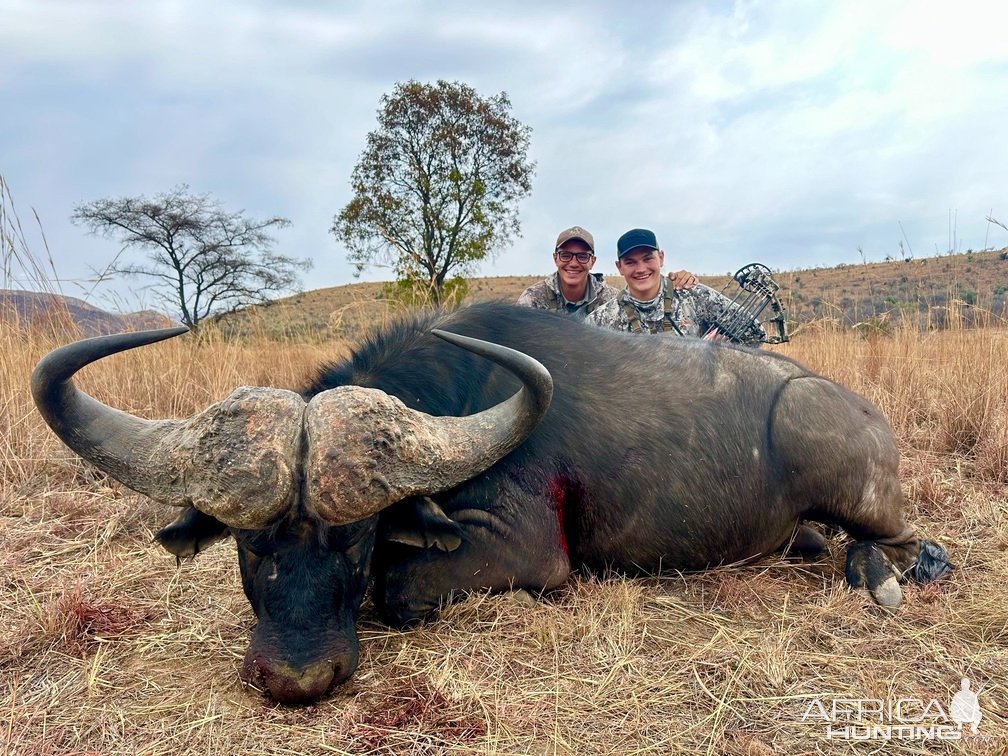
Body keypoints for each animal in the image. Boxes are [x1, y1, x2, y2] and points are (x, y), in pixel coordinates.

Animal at [29, 302, 943, 705]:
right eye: (254, 546)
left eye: (356, 541)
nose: (296, 679)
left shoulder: (525, 549)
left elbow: (401, 590)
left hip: (859, 487)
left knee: (897, 543)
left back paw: (880, 574)